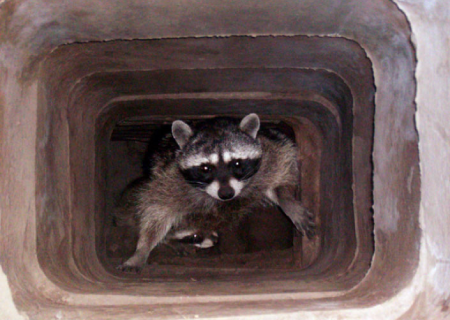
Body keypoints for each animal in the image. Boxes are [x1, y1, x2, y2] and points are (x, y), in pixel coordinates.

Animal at [116, 112, 316, 272]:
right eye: (206, 168)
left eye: (236, 163)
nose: (226, 194)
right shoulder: (170, 176)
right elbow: (157, 208)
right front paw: (142, 248)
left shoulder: (269, 151)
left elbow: (281, 166)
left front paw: (287, 200)